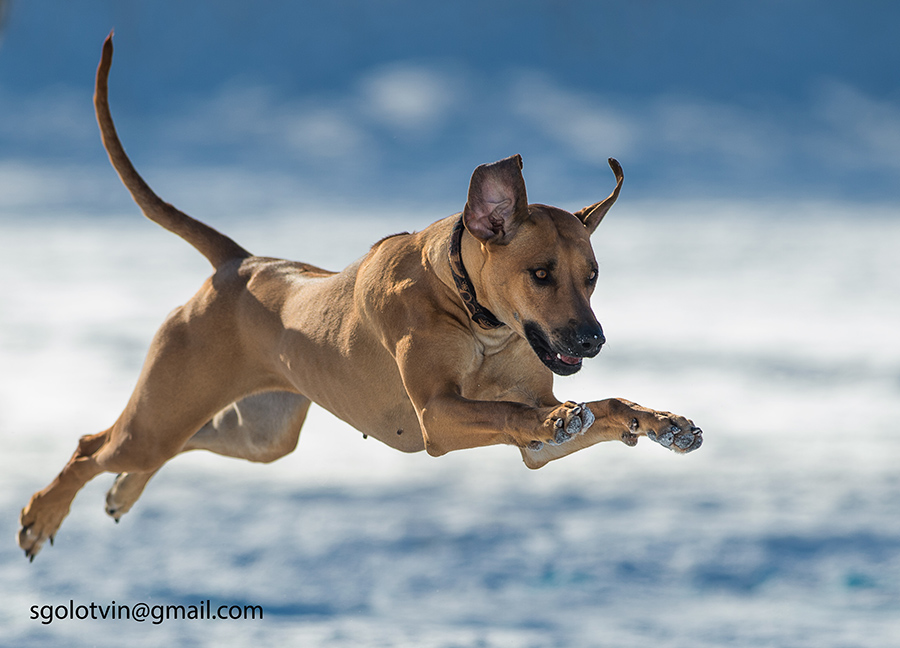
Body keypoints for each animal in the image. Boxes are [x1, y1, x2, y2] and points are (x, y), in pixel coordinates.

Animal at [15, 36, 704, 560]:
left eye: (592, 275)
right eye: (540, 274)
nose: (593, 339)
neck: (474, 314)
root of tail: (241, 263)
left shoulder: (534, 442)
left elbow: (600, 406)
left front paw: (659, 421)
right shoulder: (438, 415)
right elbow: (516, 413)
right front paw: (568, 417)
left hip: (261, 433)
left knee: (181, 441)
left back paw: (122, 492)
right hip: (167, 405)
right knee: (95, 445)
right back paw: (44, 512)